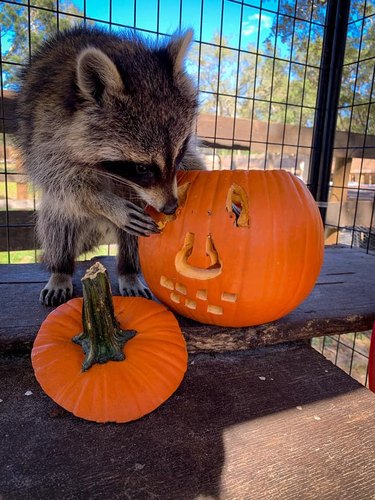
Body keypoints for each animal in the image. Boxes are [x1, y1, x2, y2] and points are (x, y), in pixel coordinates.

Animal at [16, 28, 206, 308]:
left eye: (179, 151)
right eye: (141, 167)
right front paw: (103, 201)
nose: (170, 207)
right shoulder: (45, 132)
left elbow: (190, 161)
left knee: (131, 238)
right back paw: (60, 270)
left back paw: (129, 270)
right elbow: (63, 182)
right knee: (59, 218)